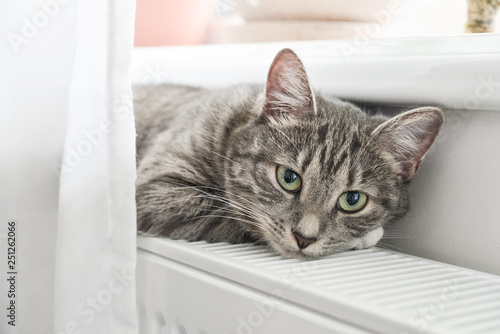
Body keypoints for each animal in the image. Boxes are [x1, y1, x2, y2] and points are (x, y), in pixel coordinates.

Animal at [134, 48, 446, 260]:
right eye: (288, 178)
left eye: (352, 200)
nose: (304, 238)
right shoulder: (156, 191)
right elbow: (235, 217)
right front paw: (366, 237)